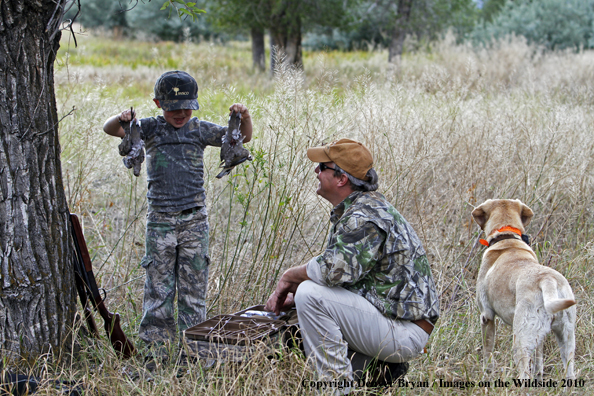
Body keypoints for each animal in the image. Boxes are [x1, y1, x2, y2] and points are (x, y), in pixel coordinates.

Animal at [470, 200, 572, 378]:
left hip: (520, 341)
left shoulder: (486, 316)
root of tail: (547, 280)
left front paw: (487, 373)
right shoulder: (539, 337)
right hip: (567, 341)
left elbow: (487, 351)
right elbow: (539, 363)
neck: (507, 238)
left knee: (524, 374)